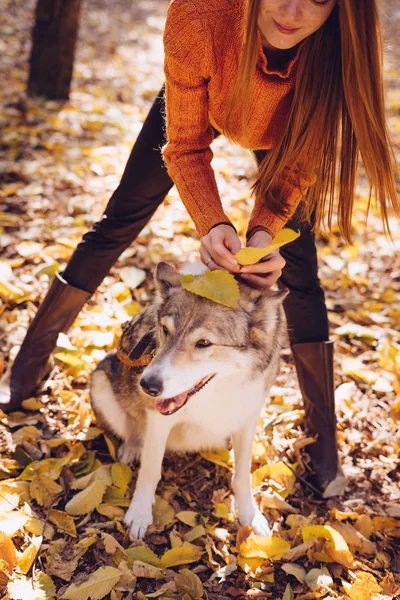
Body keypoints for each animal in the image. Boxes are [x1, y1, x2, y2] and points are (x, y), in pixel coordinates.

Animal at [90, 262, 288, 540]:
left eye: (204, 343)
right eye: (165, 330)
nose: (147, 385)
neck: (217, 395)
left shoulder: (247, 419)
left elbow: (242, 476)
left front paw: (250, 517)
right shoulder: (158, 421)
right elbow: (150, 471)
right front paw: (139, 515)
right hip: (100, 381)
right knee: (133, 434)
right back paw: (131, 448)